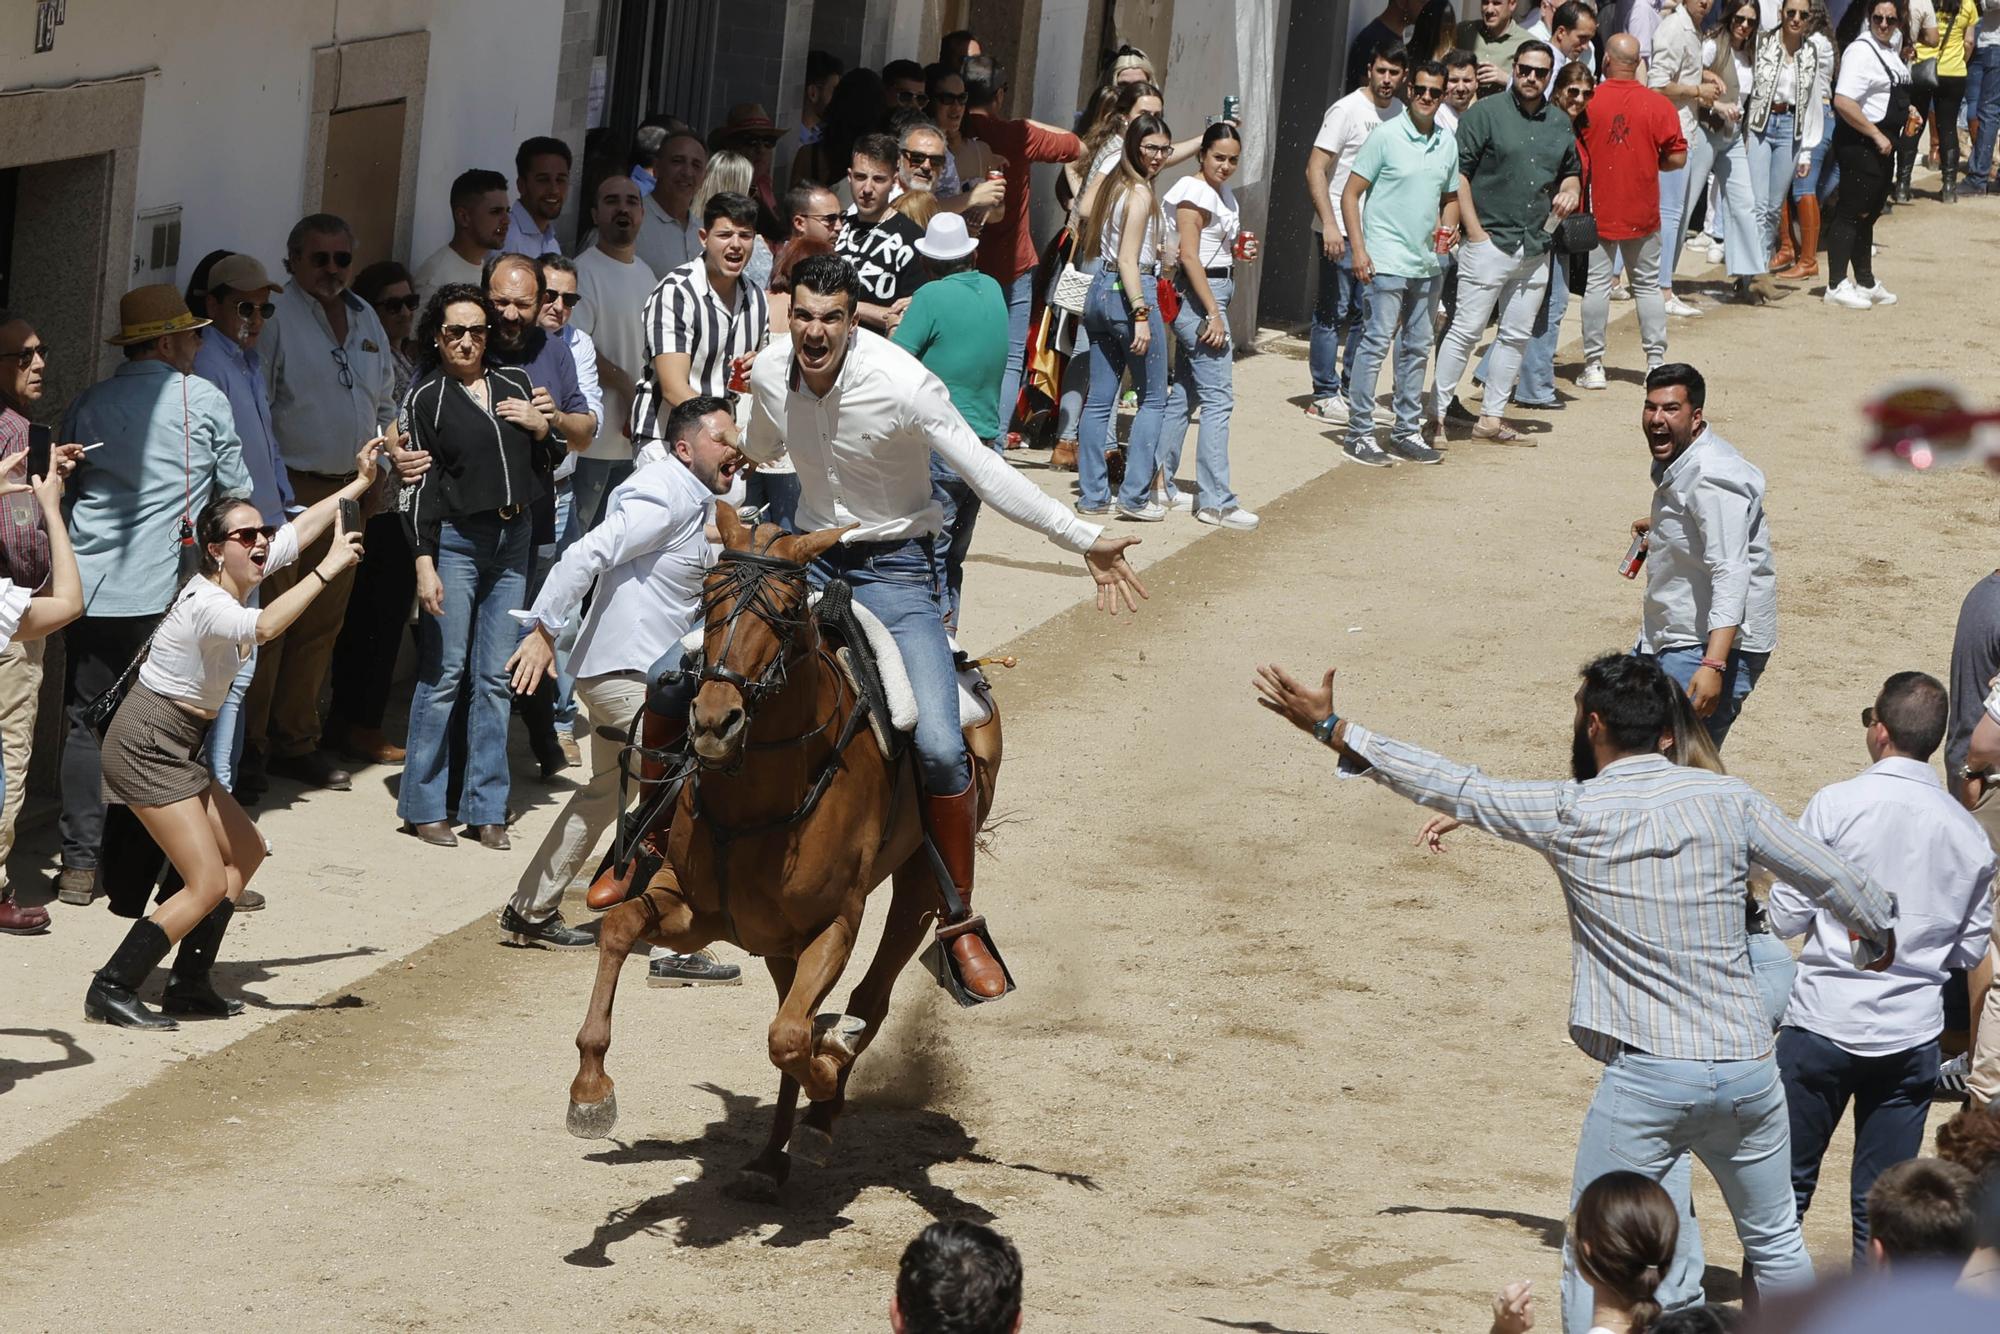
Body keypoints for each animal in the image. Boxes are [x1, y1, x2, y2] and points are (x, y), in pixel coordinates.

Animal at [564, 506, 1000, 1192]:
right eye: (706, 596)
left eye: (790, 608)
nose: (714, 721)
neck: (758, 802)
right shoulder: (695, 910)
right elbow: (618, 929)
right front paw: (590, 1090)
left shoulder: (834, 927)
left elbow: (792, 1038)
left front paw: (827, 1068)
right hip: (775, 942)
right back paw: (771, 1157)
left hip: (918, 885)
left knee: (869, 999)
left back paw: (826, 1104)